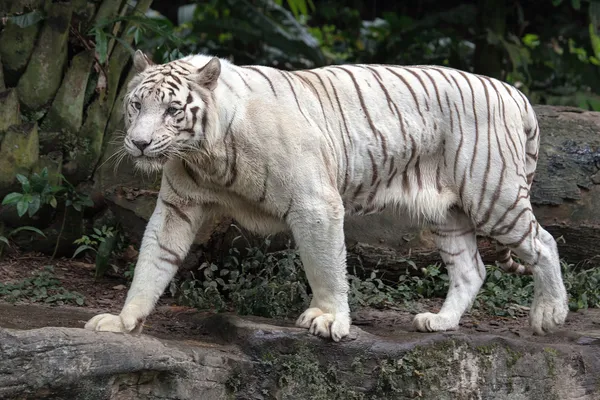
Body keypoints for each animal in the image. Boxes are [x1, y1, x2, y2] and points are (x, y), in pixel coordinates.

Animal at [83, 48, 568, 340]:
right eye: (136, 105)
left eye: (172, 110)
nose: (139, 143)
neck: (207, 155)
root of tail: (514, 93)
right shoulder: (178, 206)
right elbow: (153, 260)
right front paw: (123, 321)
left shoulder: (315, 202)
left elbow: (324, 266)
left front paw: (330, 319)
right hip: (445, 212)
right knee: (471, 268)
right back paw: (440, 322)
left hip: (492, 194)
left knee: (543, 242)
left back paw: (550, 315)